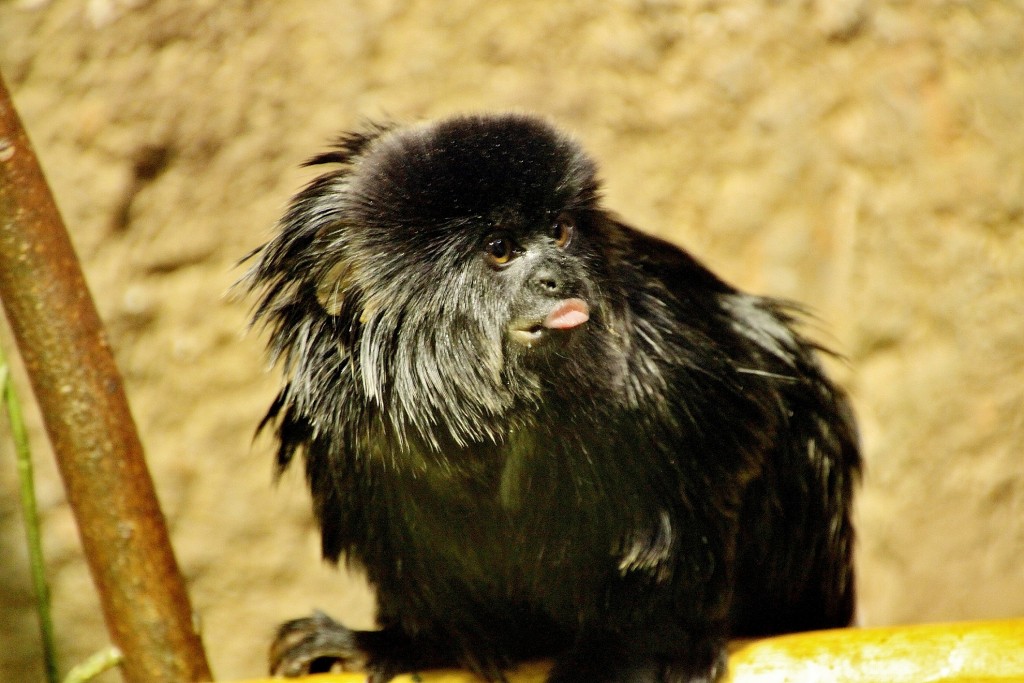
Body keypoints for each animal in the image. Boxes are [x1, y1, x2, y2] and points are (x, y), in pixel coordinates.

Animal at [243, 114, 860, 679]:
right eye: (499, 248)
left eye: (560, 232)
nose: (560, 276)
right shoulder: (340, 427)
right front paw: (405, 645)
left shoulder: (675, 366)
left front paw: (636, 655)